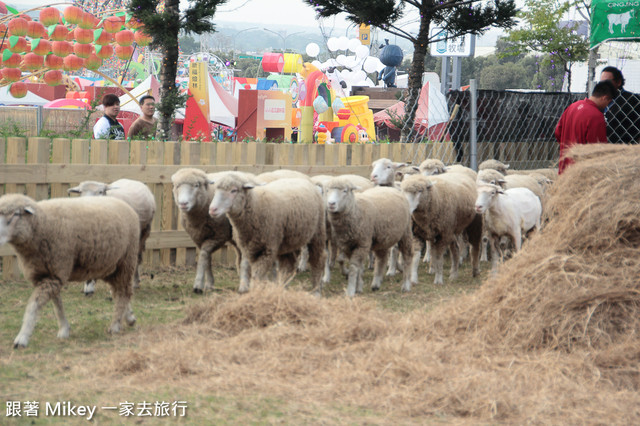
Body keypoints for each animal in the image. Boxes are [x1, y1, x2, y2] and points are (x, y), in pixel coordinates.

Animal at [0, 193, 140, 346]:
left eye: (16, 214)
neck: (42, 224)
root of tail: (126, 206)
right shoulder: (49, 274)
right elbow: (57, 304)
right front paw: (64, 329)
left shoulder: (55, 272)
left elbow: (34, 305)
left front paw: (22, 338)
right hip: (109, 265)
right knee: (118, 291)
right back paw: (129, 318)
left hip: (126, 261)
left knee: (124, 292)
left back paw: (115, 325)